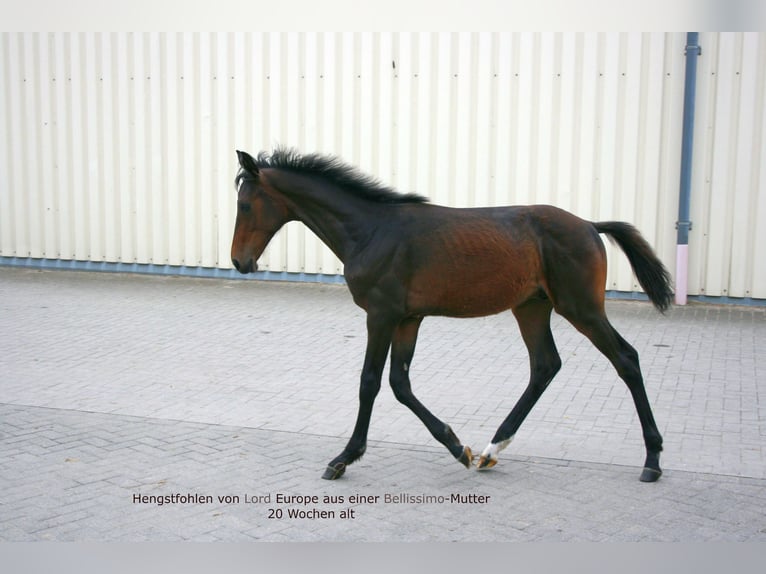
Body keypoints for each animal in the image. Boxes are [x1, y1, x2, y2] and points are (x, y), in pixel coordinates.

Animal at [232, 147, 672, 482]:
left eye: (244, 204)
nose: (239, 261)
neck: (370, 231)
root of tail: (590, 225)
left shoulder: (382, 315)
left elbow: (369, 382)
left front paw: (343, 458)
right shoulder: (407, 319)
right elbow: (400, 384)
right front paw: (459, 447)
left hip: (581, 307)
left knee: (625, 359)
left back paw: (652, 460)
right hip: (531, 307)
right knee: (545, 365)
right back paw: (492, 449)